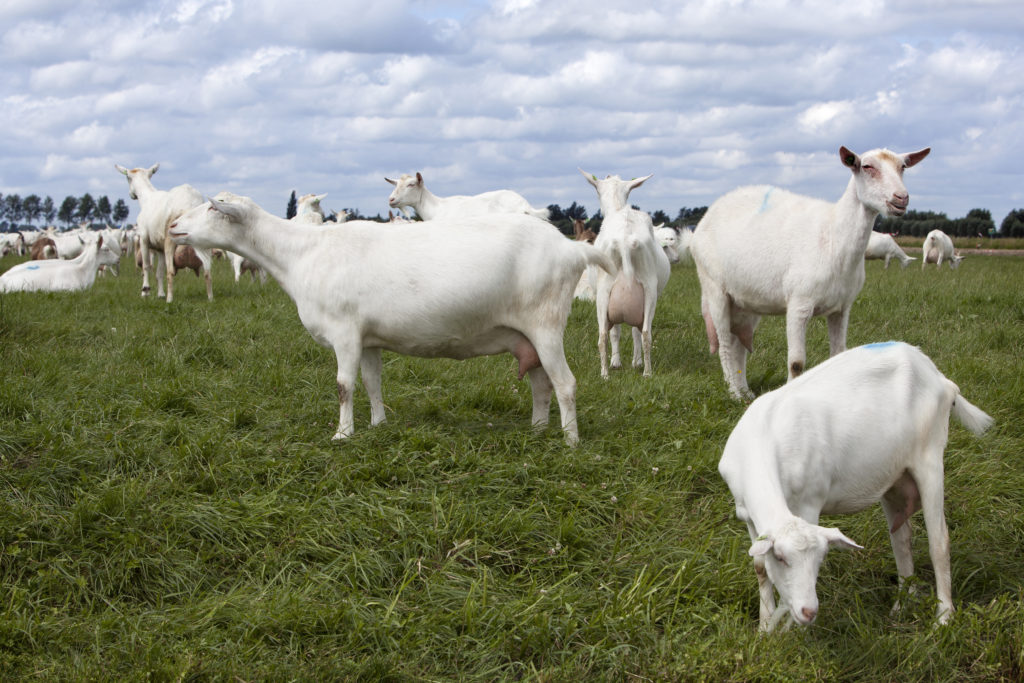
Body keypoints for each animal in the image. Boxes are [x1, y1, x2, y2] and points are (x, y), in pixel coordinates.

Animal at [115, 162, 212, 301]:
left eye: (127, 177)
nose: (131, 195)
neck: (147, 197)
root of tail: (190, 204)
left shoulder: (143, 239)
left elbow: (146, 266)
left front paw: (145, 291)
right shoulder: (159, 248)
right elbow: (159, 272)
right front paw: (160, 294)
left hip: (170, 239)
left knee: (170, 271)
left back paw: (170, 299)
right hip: (205, 241)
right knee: (207, 271)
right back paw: (210, 298)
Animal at [171, 193, 610, 448]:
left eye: (212, 208)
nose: (173, 225)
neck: (302, 253)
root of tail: (572, 250)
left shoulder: (345, 332)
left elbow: (344, 386)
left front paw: (342, 434)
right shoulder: (367, 339)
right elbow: (371, 382)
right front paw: (378, 425)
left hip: (547, 325)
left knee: (566, 384)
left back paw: (570, 442)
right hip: (527, 337)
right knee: (541, 384)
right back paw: (537, 429)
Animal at [581, 167, 667, 376]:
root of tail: (625, 240)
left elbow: (616, 332)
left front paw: (617, 362)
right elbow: (633, 331)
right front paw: (633, 362)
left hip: (605, 291)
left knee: (605, 335)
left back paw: (606, 374)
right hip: (648, 291)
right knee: (645, 333)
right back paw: (646, 373)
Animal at [692, 145, 933, 401]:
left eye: (903, 167)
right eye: (867, 167)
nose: (901, 198)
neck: (834, 235)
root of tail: (708, 214)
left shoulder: (842, 308)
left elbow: (838, 353)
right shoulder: (799, 304)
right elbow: (796, 363)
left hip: (745, 301)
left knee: (738, 343)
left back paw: (746, 391)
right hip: (714, 287)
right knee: (725, 343)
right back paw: (734, 393)